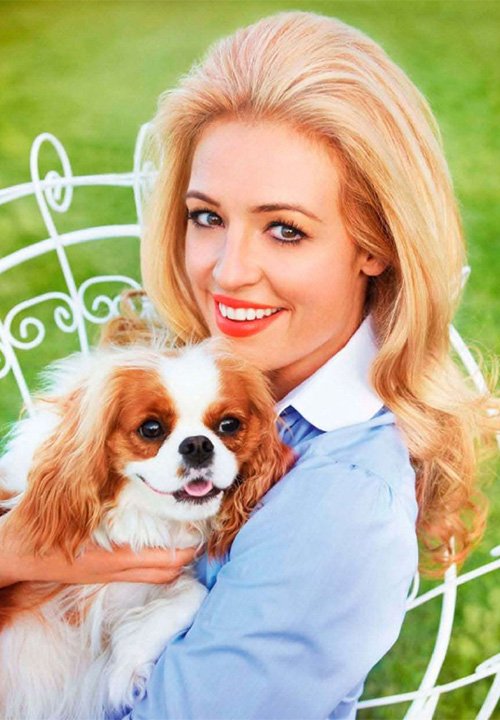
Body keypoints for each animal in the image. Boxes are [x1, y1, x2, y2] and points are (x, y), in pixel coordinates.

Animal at [0, 333, 293, 719]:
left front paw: (127, 662)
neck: (137, 514)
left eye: (229, 425)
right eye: (151, 429)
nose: (197, 445)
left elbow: (193, 594)